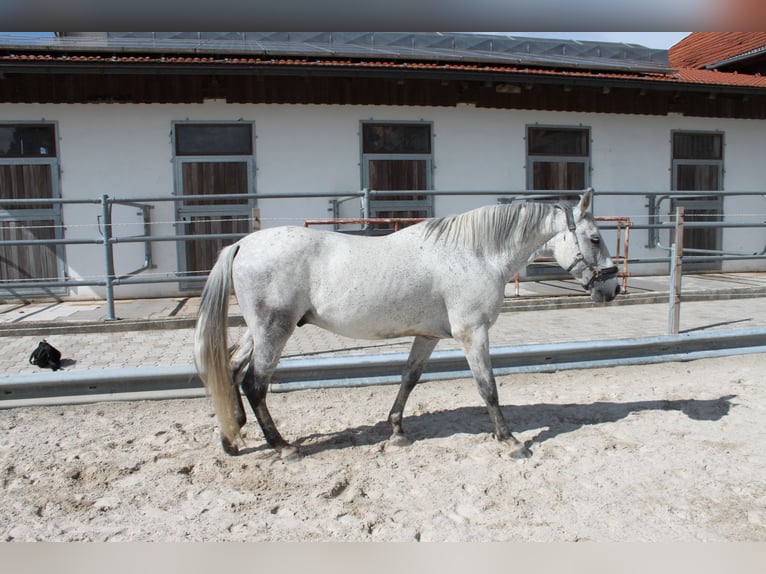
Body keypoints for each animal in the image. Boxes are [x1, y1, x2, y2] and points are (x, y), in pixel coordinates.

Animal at [194, 188, 620, 460]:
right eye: (595, 239)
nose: (612, 288)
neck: (475, 253)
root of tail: (242, 244)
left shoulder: (428, 336)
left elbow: (408, 379)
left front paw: (397, 431)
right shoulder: (473, 333)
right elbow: (488, 388)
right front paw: (510, 440)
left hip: (259, 331)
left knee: (232, 368)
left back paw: (232, 436)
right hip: (274, 331)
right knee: (255, 383)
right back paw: (283, 447)